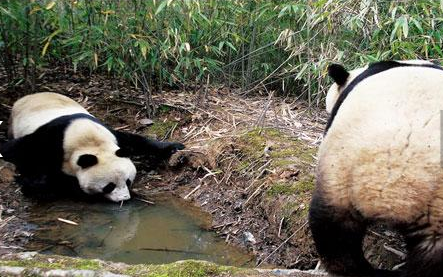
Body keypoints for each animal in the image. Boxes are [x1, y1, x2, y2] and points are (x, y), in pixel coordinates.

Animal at [0, 91, 185, 202]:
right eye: (109, 186)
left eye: (128, 181)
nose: (124, 199)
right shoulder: (49, 141)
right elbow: (41, 176)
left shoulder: (110, 134)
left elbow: (135, 140)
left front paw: (173, 147)